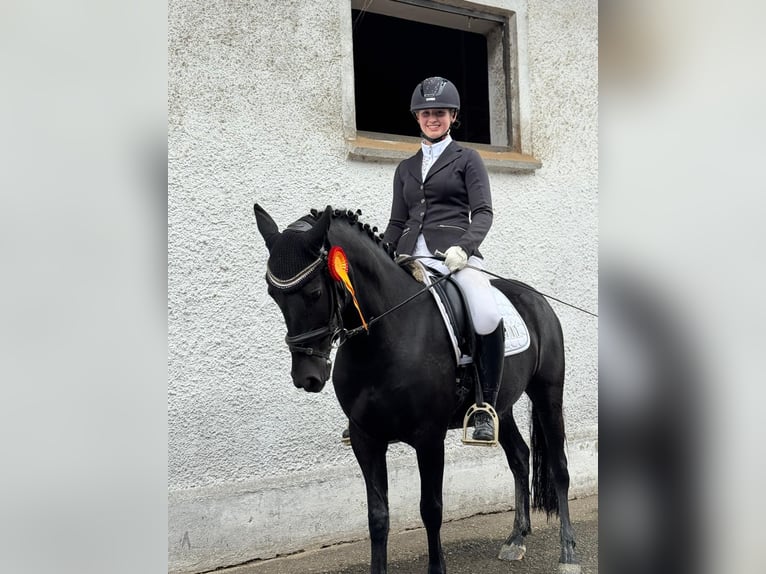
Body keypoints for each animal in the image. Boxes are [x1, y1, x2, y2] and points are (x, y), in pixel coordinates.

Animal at [253, 204, 579, 574]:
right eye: (273, 294)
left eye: (315, 293)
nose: (306, 377)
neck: (384, 337)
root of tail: (535, 298)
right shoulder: (366, 438)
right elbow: (378, 516)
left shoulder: (429, 438)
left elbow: (431, 509)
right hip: (501, 408)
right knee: (520, 458)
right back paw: (515, 539)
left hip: (548, 395)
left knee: (559, 468)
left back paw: (568, 554)